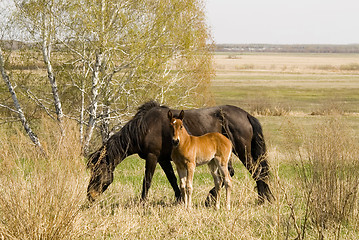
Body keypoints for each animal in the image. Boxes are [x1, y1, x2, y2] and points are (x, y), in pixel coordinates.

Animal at [87, 100, 276, 203]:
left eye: (97, 173)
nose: (90, 196)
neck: (144, 127)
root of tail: (246, 115)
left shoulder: (152, 157)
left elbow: (147, 181)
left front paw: (142, 203)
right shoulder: (163, 159)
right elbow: (172, 179)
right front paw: (179, 199)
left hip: (242, 152)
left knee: (257, 171)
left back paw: (262, 200)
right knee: (232, 173)